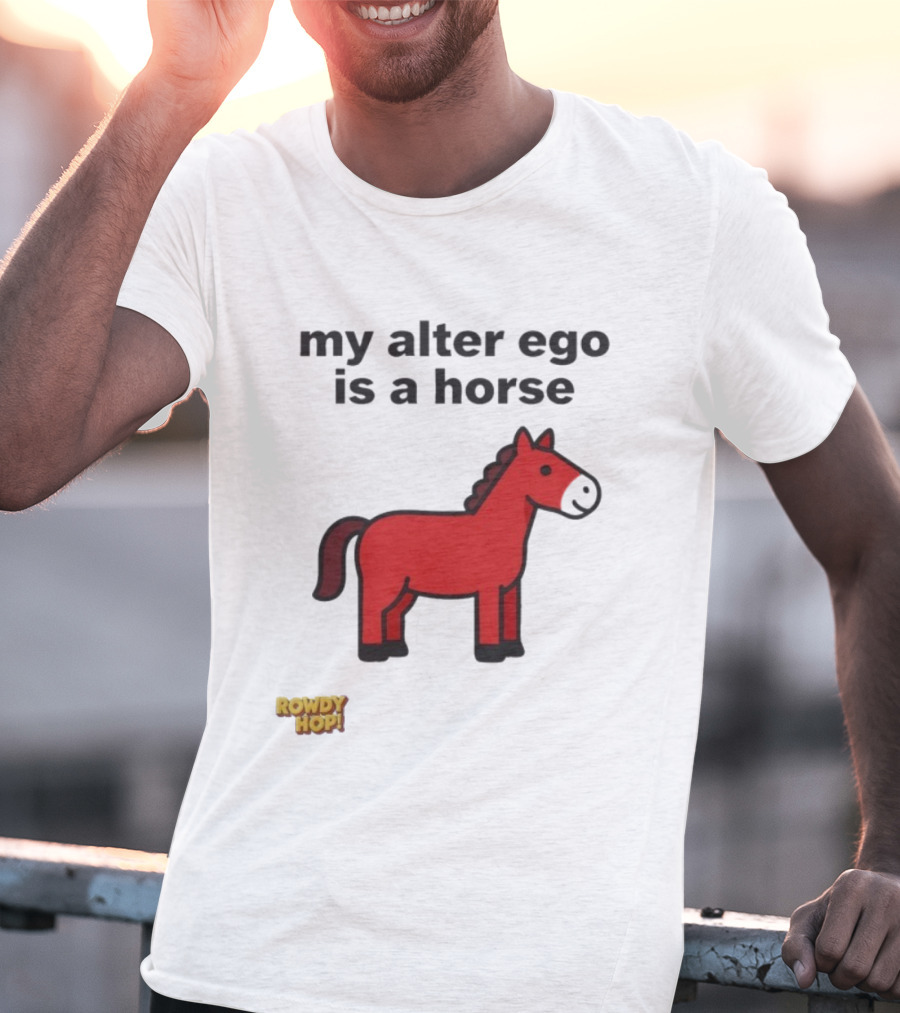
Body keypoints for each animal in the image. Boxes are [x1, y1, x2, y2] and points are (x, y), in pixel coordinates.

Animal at [313, 427, 600, 663]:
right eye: (545, 469)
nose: (589, 490)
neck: (494, 529)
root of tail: (367, 524)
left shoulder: (510, 589)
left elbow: (509, 621)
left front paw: (513, 650)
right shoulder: (488, 589)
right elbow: (489, 623)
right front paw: (491, 655)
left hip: (406, 590)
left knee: (392, 615)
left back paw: (396, 649)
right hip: (383, 585)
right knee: (372, 612)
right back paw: (374, 654)